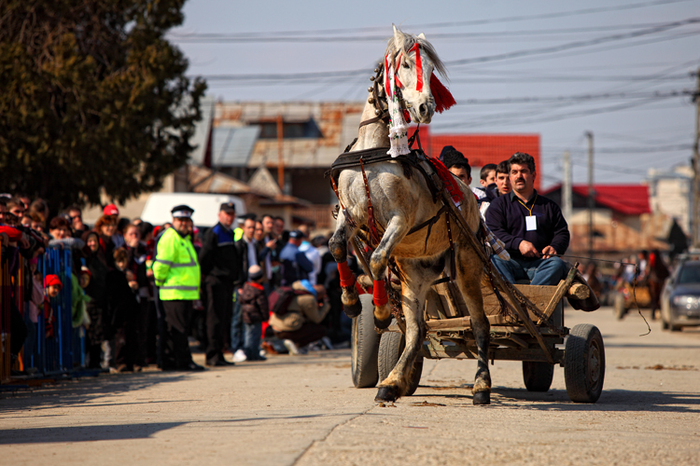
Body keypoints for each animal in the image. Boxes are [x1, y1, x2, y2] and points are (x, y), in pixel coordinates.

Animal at [328, 26, 492, 404]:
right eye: (404, 65)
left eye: (431, 71)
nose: (425, 107)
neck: (371, 154)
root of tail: (470, 200)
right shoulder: (350, 214)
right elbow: (336, 246)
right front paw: (350, 302)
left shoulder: (399, 221)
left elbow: (375, 258)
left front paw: (379, 310)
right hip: (415, 275)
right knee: (418, 331)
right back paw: (392, 382)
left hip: (466, 265)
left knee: (480, 324)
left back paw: (481, 386)